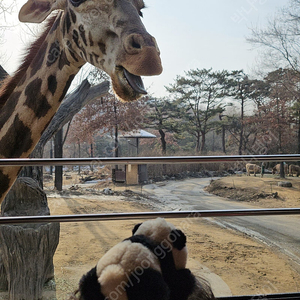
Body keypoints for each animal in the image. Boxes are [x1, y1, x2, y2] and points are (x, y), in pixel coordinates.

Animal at [71, 218, 214, 300]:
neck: (151, 237)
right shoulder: (165, 261)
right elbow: (178, 283)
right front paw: (186, 276)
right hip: (143, 285)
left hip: (94, 280)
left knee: (86, 286)